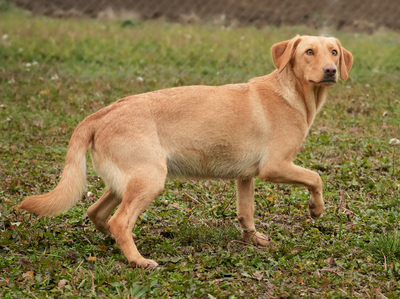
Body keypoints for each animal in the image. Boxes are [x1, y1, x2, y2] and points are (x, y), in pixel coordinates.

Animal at [20, 35, 354, 270]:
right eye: (309, 52)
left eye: (334, 52)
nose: (331, 71)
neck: (291, 92)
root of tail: (101, 113)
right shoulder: (275, 167)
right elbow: (316, 178)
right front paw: (316, 209)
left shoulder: (245, 177)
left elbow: (246, 213)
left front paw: (251, 239)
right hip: (151, 179)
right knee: (119, 221)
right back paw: (137, 260)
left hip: (125, 182)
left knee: (97, 213)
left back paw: (118, 246)